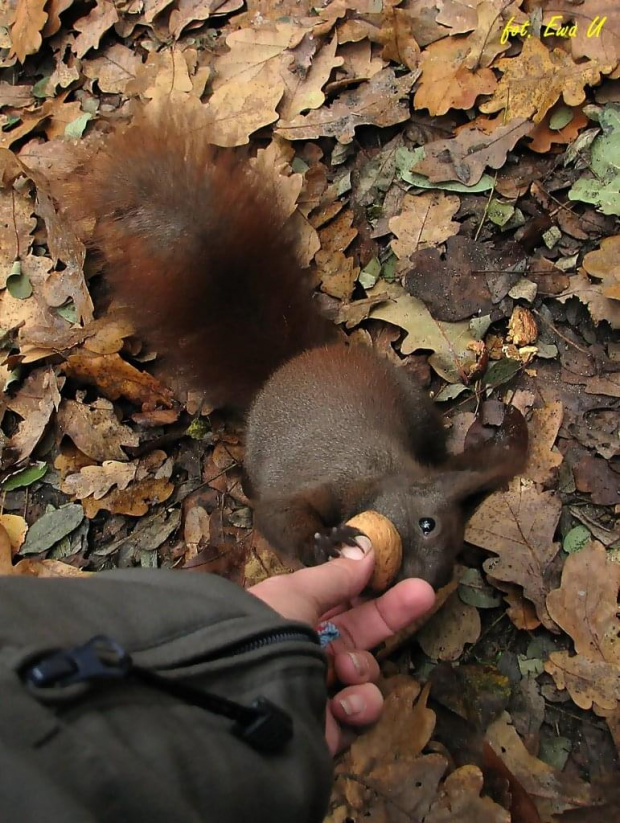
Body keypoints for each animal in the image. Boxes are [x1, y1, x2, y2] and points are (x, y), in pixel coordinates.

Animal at [59, 112, 528, 588]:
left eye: (450, 565)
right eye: (427, 524)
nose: (425, 583)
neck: (382, 476)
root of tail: (290, 364)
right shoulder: (328, 475)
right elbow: (280, 516)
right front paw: (321, 543)